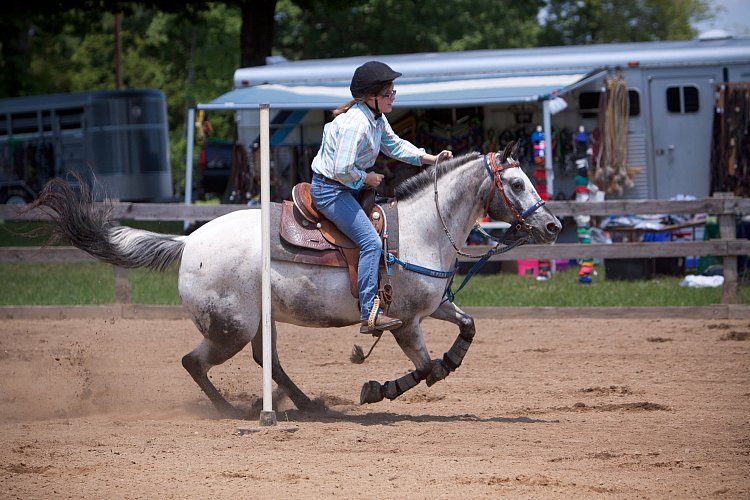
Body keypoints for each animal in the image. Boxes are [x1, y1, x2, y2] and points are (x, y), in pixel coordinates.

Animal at [32, 142, 560, 418]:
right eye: (517, 183)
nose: (554, 226)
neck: (420, 230)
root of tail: (189, 243)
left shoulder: (432, 306)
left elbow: (466, 329)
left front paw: (447, 360)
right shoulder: (407, 321)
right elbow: (426, 368)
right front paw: (377, 389)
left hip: (258, 322)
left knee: (266, 360)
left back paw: (305, 404)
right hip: (231, 328)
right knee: (194, 361)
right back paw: (237, 412)